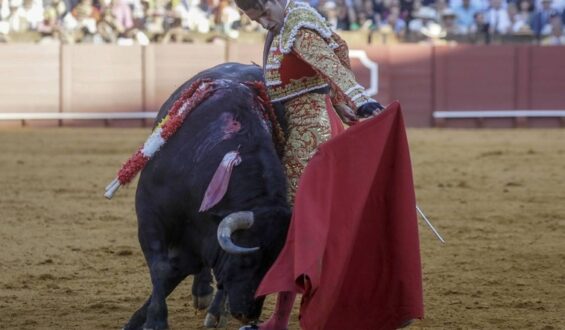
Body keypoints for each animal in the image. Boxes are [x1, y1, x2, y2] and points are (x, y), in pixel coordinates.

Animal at [123, 63, 290, 328]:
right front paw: (152, 321)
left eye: (273, 267)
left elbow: (175, 273)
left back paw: (212, 309)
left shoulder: (199, 240)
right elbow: (162, 269)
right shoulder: (150, 215)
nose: (248, 314)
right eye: (246, 261)